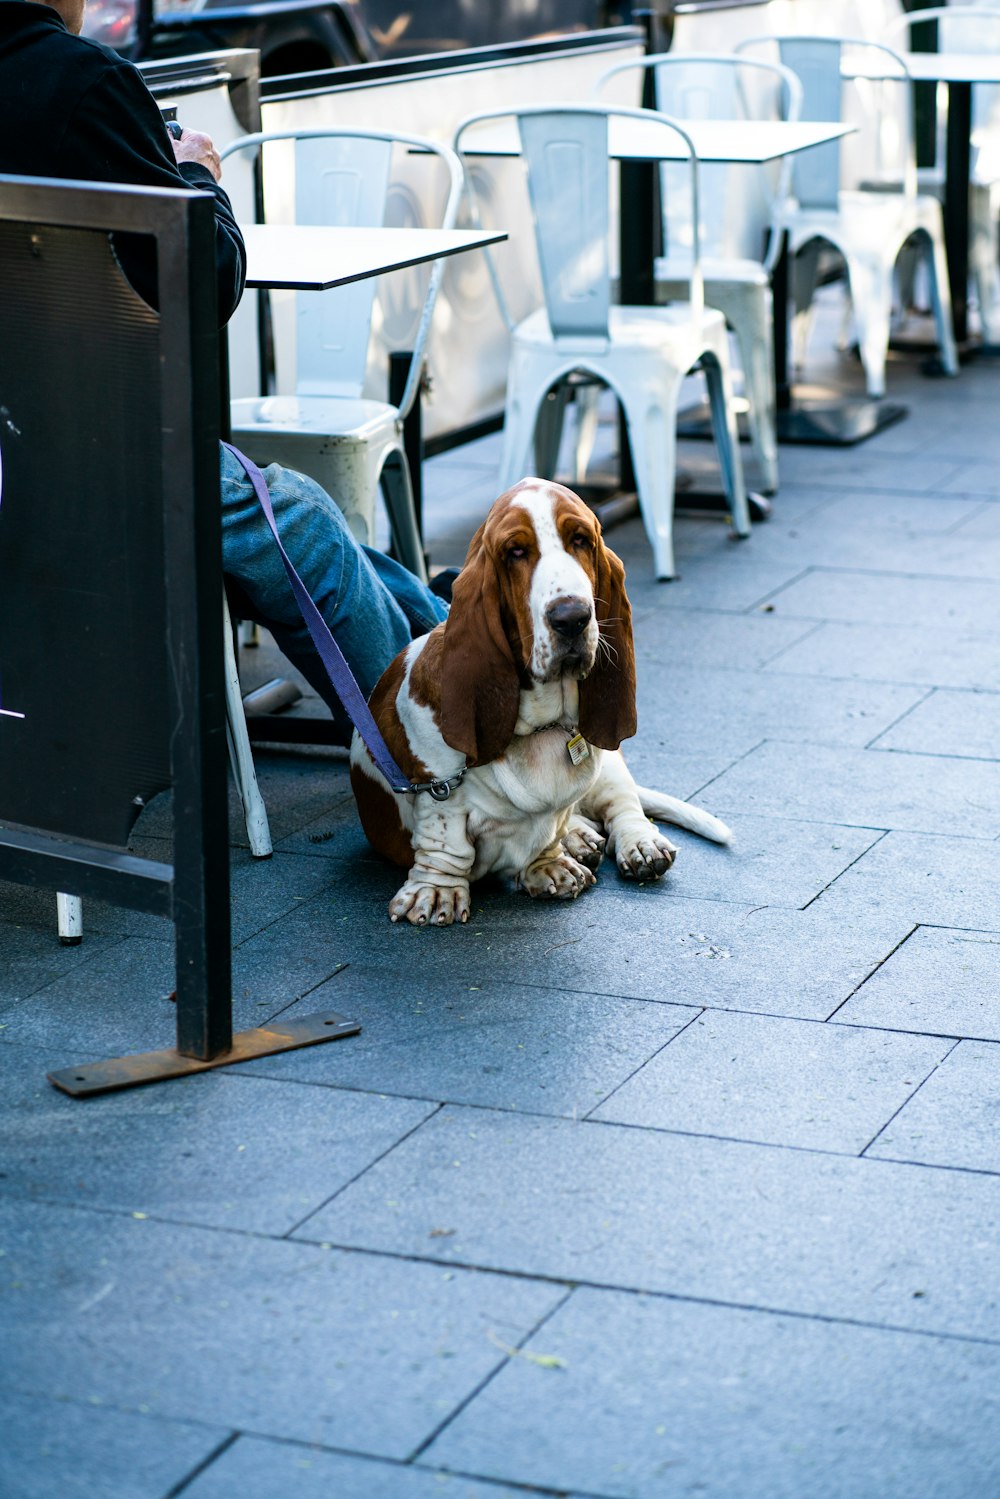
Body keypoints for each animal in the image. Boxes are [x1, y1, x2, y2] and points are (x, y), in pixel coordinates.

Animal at [350, 479, 728, 923]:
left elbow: (552, 828)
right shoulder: (438, 789)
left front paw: (548, 865)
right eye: (515, 551)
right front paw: (436, 892)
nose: (571, 618)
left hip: (608, 764)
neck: (541, 724)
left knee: (621, 805)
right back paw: (581, 839)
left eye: (580, 540)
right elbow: (445, 844)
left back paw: (636, 843)